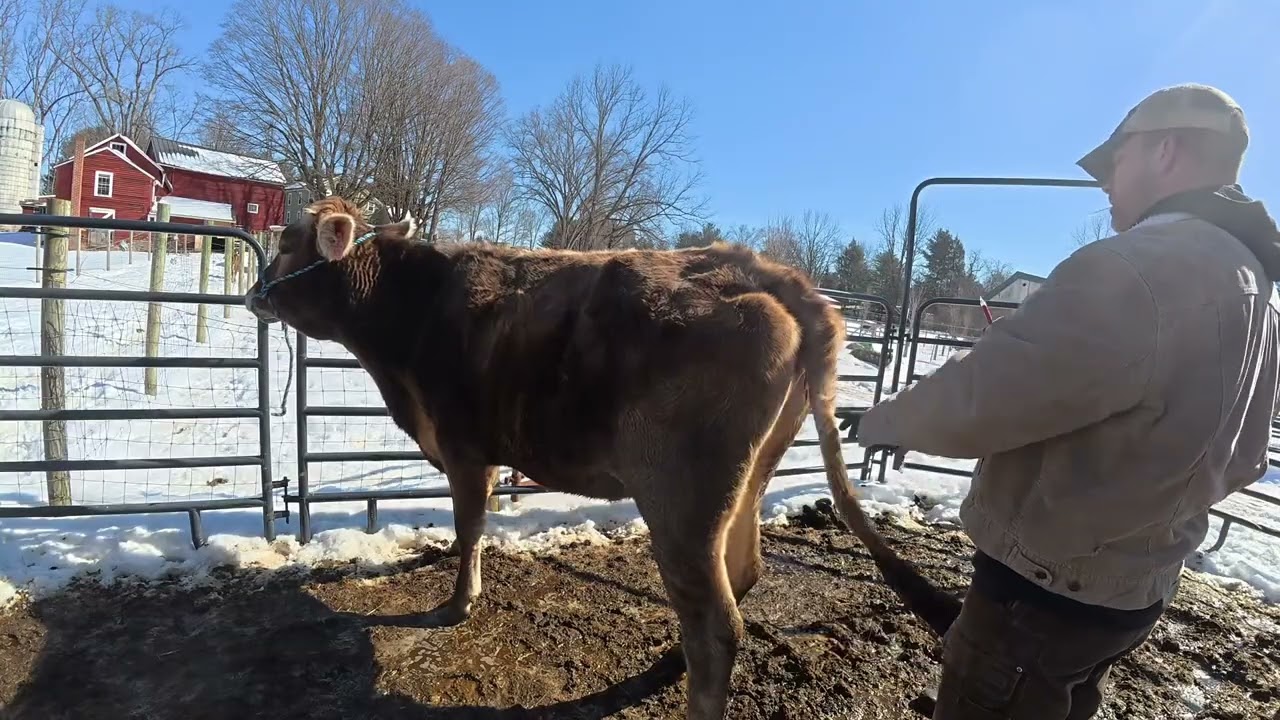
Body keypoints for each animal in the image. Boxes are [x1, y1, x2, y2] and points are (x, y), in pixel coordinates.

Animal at [245, 197, 958, 720]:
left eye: (285, 240)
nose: (254, 292)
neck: (413, 313)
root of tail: (769, 274)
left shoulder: (465, 448)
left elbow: (469, 529)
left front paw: (458, 604)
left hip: (682, 501)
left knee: (716, 623)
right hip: (749, 480)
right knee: (743, 573)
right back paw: (670, 661)